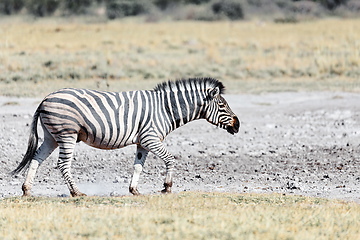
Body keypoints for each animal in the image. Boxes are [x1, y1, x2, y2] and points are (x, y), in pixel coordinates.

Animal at [11, 77, 239, 197]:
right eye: (222, 105)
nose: (237, 125)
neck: (166, 109)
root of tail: (45, 99)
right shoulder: (150, 137)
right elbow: (170, 159)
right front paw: (167, 187)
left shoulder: (142, 142)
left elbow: (138, 166)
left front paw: (134, 190)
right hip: (67, 134)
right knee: (63, 164)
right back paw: (76, 192)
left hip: (51, 136)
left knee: (36, 159)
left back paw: (26, 190)